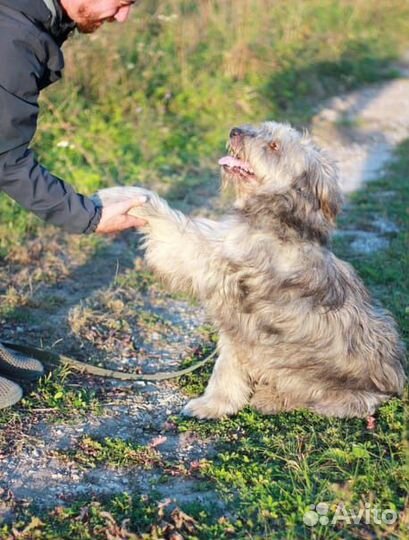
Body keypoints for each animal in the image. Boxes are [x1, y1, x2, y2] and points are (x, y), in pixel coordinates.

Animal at [95, 123, 404, 422]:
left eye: (274, 145)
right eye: (263, 129)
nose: (235, 131)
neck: (279, 214)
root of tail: (392, 386)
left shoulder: (212, 261)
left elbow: (173, 225)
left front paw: (117, 196)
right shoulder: (239, 326)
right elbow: (228, 369)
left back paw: (271, 398)